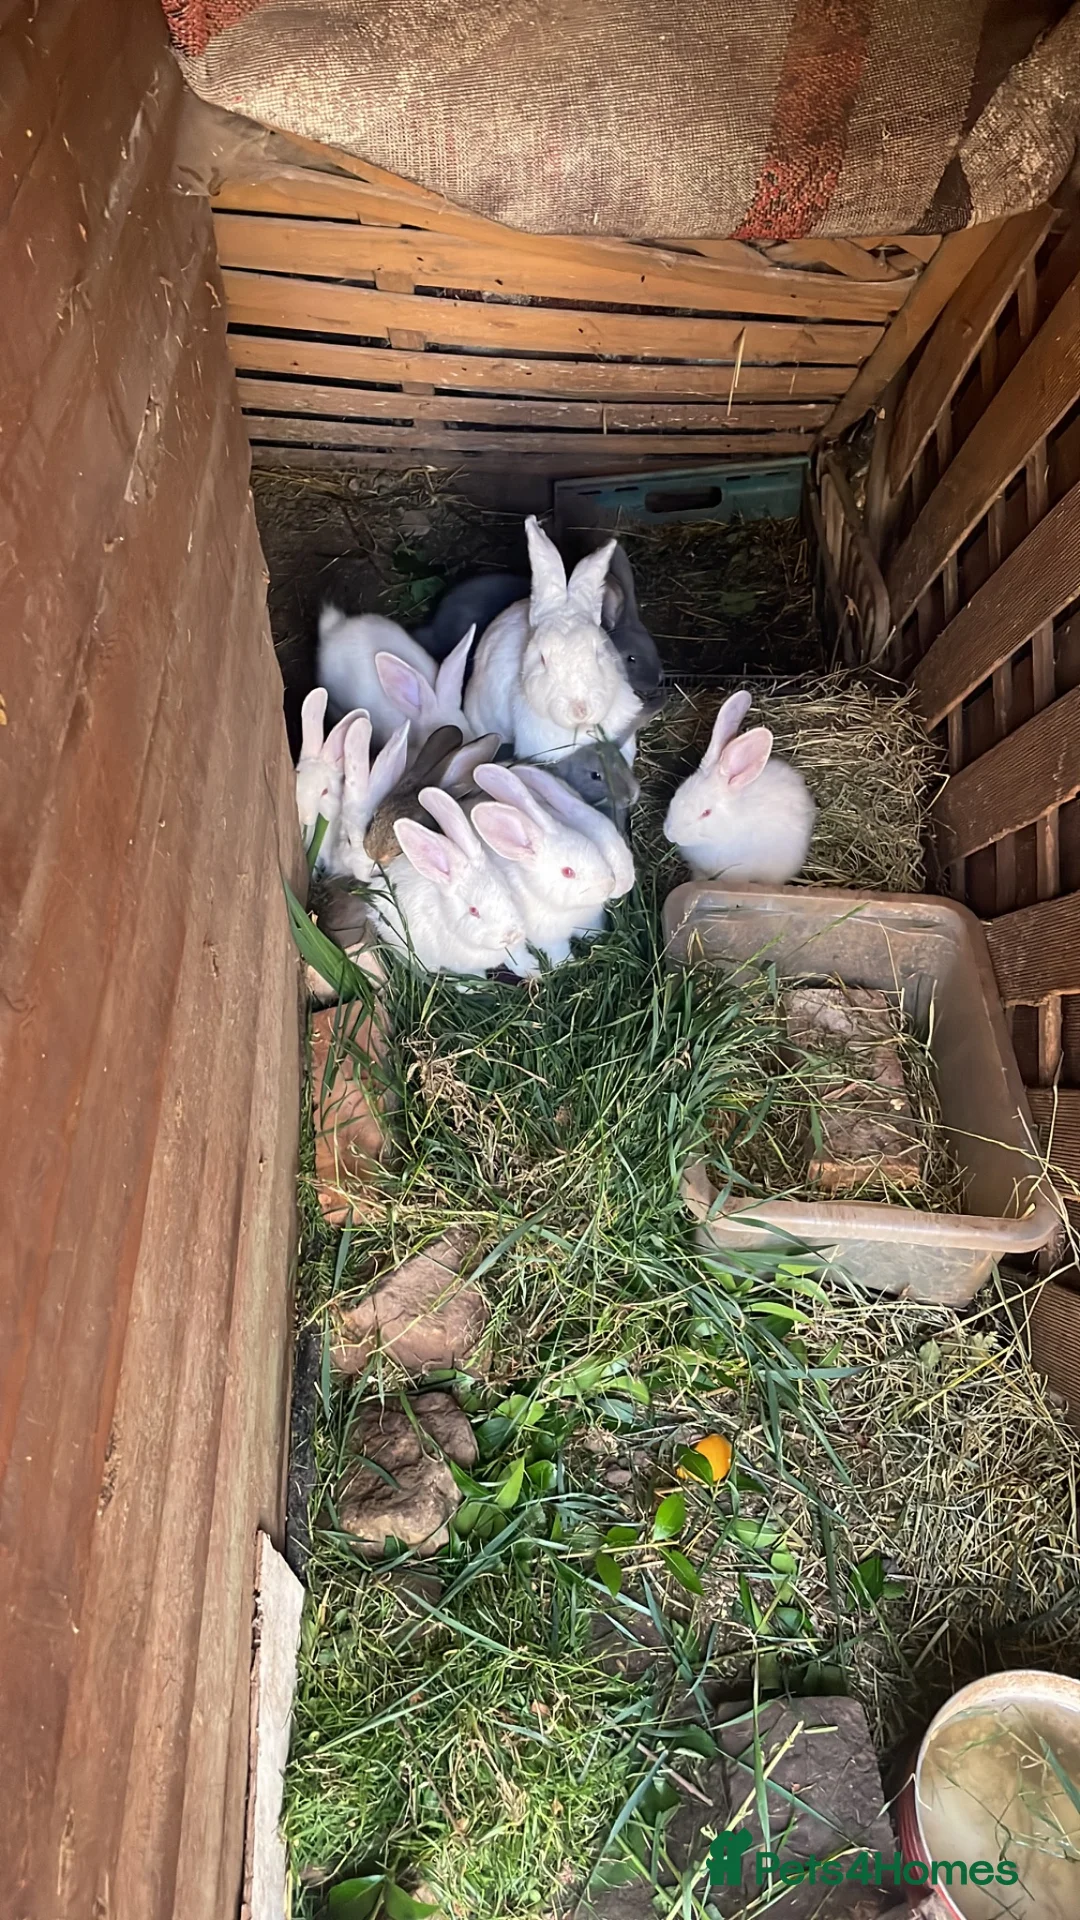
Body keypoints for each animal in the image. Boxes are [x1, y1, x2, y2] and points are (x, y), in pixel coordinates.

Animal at [469, 762, 635, 963]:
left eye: (595, 849)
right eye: (567, 872)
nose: (612, 885)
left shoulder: (589, 921)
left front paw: (599, 938)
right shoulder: (549, 938)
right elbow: (558, 952)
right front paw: (569, 963)